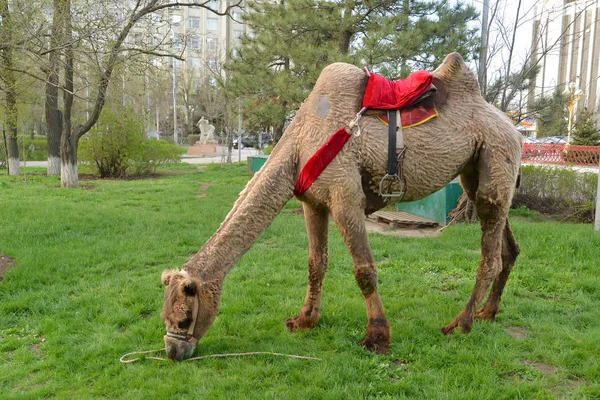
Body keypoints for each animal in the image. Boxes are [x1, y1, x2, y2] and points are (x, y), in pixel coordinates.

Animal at [158, 51, 520, 360]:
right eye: (164, 315)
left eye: (184, 317)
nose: (174, 352)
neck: (300, 144)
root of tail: (513, 127)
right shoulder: (313, 203)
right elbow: (316, 263)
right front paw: (304, 320)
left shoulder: (345, 196)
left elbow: (364, 271)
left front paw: (377, 338)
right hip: (476, 172)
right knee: (508, 247)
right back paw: (488, 312)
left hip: (495, 156)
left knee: (489, 255)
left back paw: (460, 323)